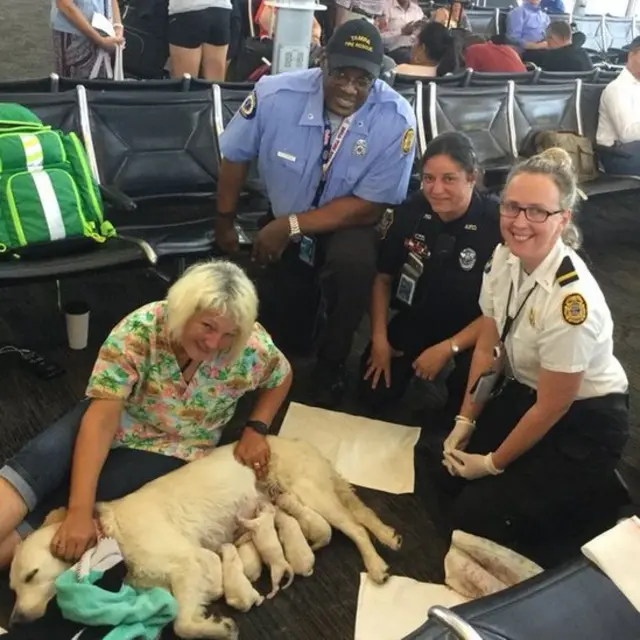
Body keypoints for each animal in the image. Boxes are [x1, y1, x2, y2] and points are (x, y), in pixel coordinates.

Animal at [8, 432, 400, 636]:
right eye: (12, 588)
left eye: (31, 575)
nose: (13, 621)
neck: (112, 535)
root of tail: (302, 444)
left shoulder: (186, 563)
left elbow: (181, 624)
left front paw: (219, 627)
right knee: (362, 515)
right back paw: (388, 536)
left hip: (309, 492)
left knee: (355, 528)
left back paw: (376, 565)